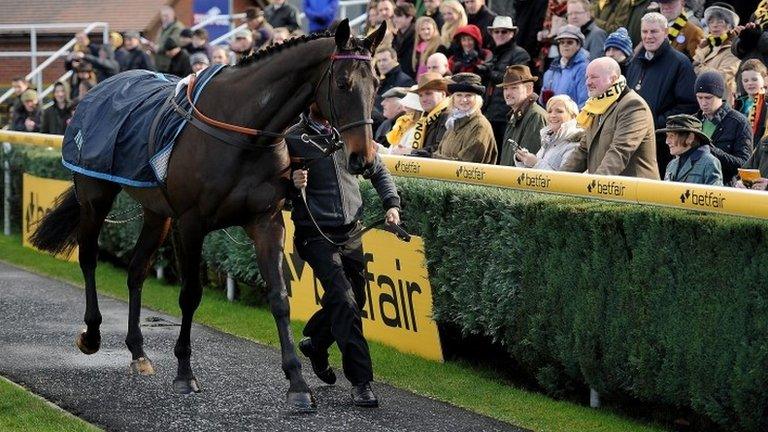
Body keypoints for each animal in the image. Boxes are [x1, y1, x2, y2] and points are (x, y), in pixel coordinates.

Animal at [30, 19, 390, 412]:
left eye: (377, 83)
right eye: (343, 83)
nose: (363, 158)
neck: (244, 132)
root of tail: (99, 87)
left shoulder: (265, 220)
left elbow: (279, 297)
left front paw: (297, 383)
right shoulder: (190, 224)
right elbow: (190, 294)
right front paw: (185, 374)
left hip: (156, 213)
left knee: (137, 268)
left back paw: (138, 352)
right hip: (96, 195)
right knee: (89, 256)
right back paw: (92, 334)